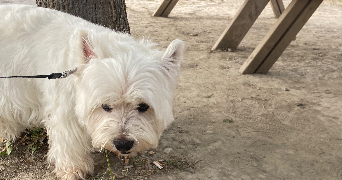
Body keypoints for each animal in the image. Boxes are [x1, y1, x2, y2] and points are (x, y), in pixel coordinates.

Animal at [0, 4, 184, 180]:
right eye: (105, 106)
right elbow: (69, 141)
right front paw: (73, 170)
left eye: (143, 106)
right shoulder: (65, 114)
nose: (123, 144)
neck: (76, 71)